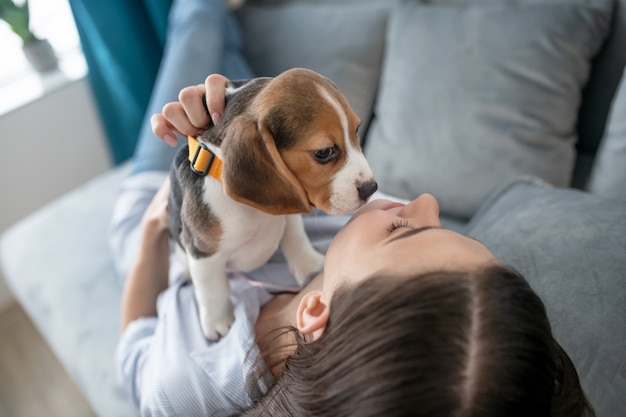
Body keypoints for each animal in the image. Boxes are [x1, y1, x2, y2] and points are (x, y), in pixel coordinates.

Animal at [167, 68, 376, 340]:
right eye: (324, 152)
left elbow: (295, 235)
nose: (372, 188)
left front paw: (309, 264)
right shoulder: (202, 250)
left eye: (357, 129)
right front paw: (218, 321)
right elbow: (212, 288)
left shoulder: (290, 206)